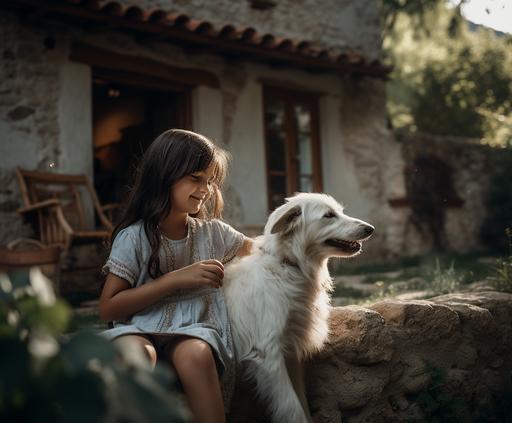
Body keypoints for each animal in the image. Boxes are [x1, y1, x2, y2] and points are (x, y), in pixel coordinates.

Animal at [222, 194, 374, 422]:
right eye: (329, 215)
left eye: (340, 211)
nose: (370, 228)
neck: (288, 266)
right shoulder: (268, 354)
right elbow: (292, 408)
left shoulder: (290, 351)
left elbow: (301, 401)